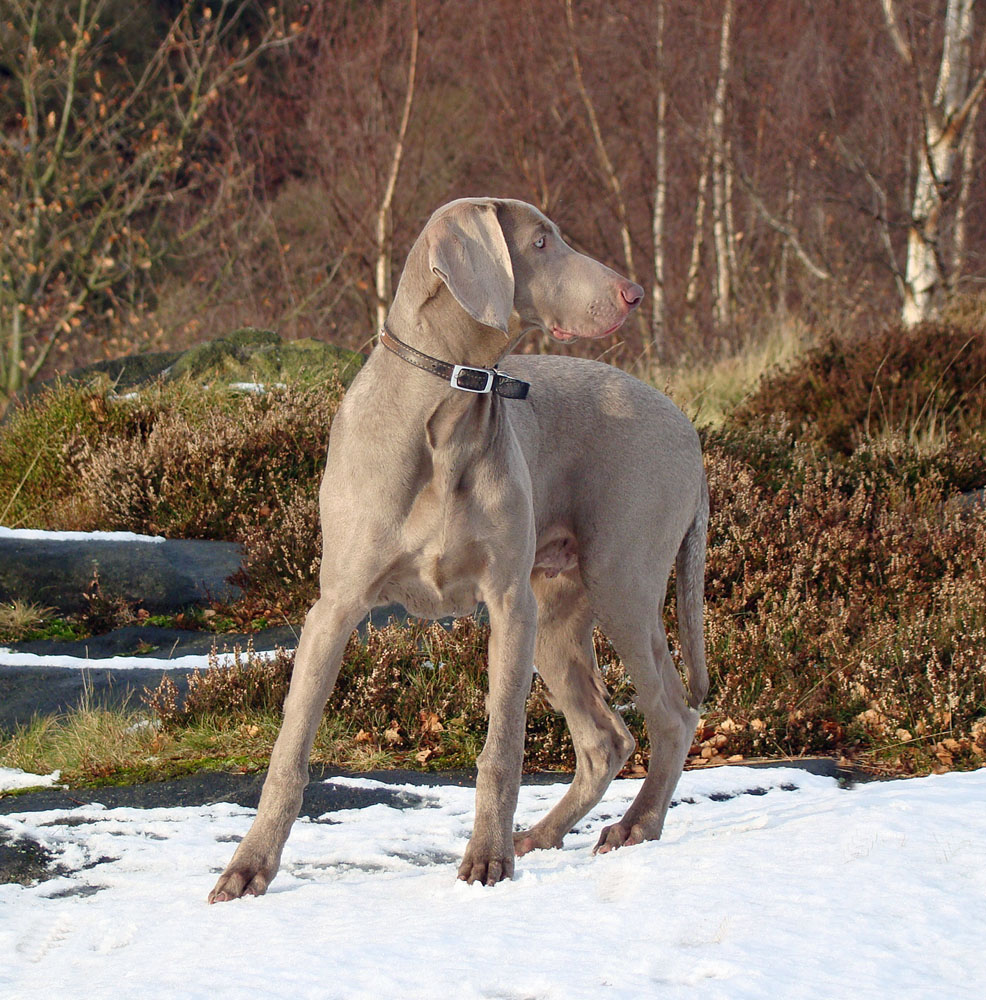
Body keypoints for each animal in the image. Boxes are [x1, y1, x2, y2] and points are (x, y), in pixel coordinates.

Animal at [208, 199, 704, 904]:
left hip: (619, 586)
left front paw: (487, 860)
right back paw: (543, 835)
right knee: (607, 739)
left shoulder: (508, 605)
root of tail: (689, 427)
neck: (446, 407)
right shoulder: (333, 609)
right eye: (541, 242)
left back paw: (635, 827)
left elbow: (501, 749)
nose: (633, 294)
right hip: (560, 616)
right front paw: (248, 867)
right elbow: (290, 748)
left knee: (672, 717)